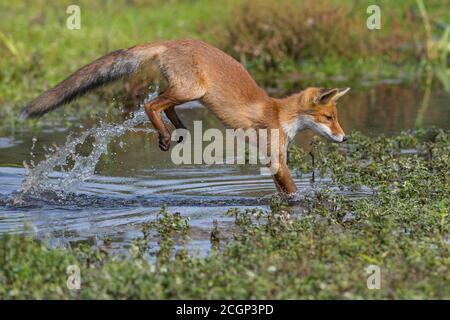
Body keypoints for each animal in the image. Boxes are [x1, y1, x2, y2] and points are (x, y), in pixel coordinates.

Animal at [21, 40, 350, 195]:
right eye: (329, 117)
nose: (345, 138)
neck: (279, 113)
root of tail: (171, 41)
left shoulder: (273, 159)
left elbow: (282, 190)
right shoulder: (276, 157)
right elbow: (292, 190)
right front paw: (304, 204)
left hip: (187, 91)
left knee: (162, 104)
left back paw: (177, 130)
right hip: (192, 89)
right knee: (150, 105)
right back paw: (166, 134)